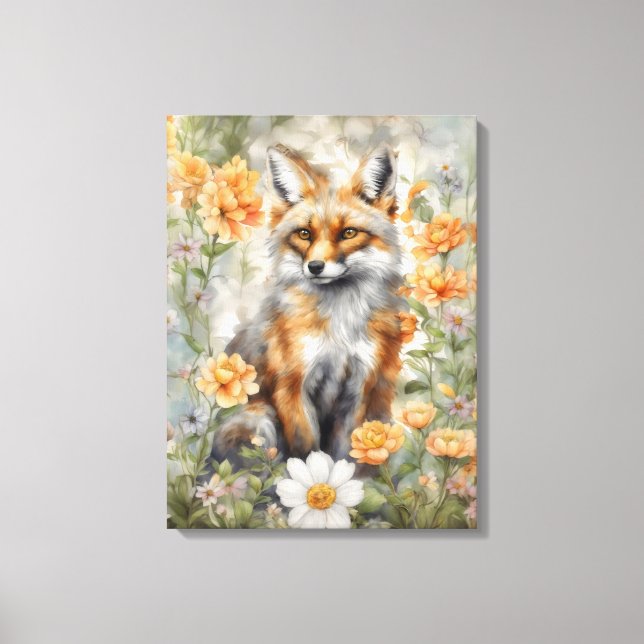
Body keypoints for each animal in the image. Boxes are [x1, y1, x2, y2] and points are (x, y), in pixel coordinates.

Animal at [213, 143, 404, 462]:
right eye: (305, 234)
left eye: (348, 233)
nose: (315, 267)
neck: (339, 329)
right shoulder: (292, 387)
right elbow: (305, 451)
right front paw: (308, 474)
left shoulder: (358, 389)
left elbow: (344, 452)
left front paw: (340, 475)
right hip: (260, 419)